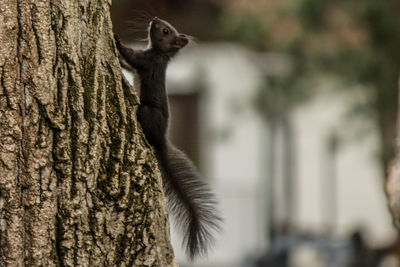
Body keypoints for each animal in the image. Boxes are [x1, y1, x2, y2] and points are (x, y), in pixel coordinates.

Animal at [114, 16, 222, 260]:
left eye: (165, 30)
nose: (154, 19)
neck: (159, 53)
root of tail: (161, 139)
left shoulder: (146, 61)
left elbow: (131, 56)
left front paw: (116, 40)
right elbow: (127, 64)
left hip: (147, 112)